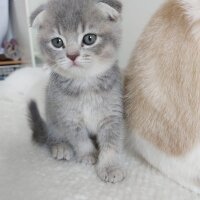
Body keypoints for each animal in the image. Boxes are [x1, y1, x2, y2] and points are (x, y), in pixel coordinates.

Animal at [28, 0, 125, 184]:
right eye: (57, 42)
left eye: (89, 38)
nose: (72, 55)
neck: (85, 84)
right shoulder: (68, 117)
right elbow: (79, 139)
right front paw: (88, 155)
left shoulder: (112, 115)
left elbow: (111, 144)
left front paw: (109, 166)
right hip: (51, 115)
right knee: (52, 135)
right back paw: (60, 146)